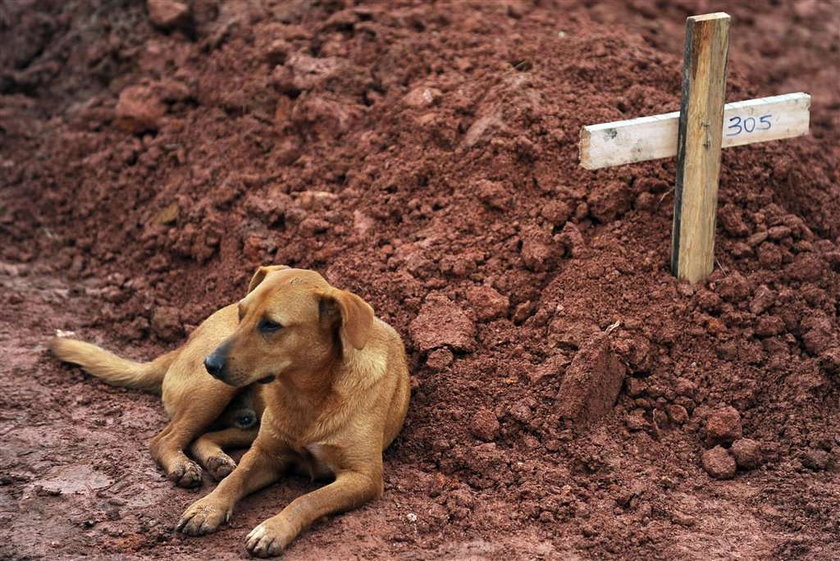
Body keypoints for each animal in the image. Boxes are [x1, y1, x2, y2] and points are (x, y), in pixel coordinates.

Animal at [49, 266, 410, 556]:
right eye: (242, 312)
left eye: (271, 325)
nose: (210, 363)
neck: (309, 394)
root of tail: (184, 344)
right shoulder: (266, 453)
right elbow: (237, 478)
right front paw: (208, 507)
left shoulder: (363, 477)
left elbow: (308, 499)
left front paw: (272, 529)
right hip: (212, 394)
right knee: (165, 438)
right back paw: (185, 465)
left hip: (244, 419)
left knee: (202, 437)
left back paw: (214, 459)